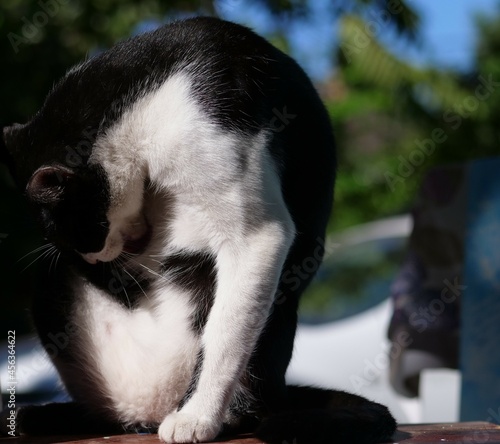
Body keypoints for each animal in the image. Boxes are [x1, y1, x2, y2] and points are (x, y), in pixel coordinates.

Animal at [0, 15, 398, 442]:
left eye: (82, 235)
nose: (95, 262)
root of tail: (143, 414)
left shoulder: (251, 223)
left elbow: (223, 333)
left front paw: (197, 416)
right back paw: (45, 415)